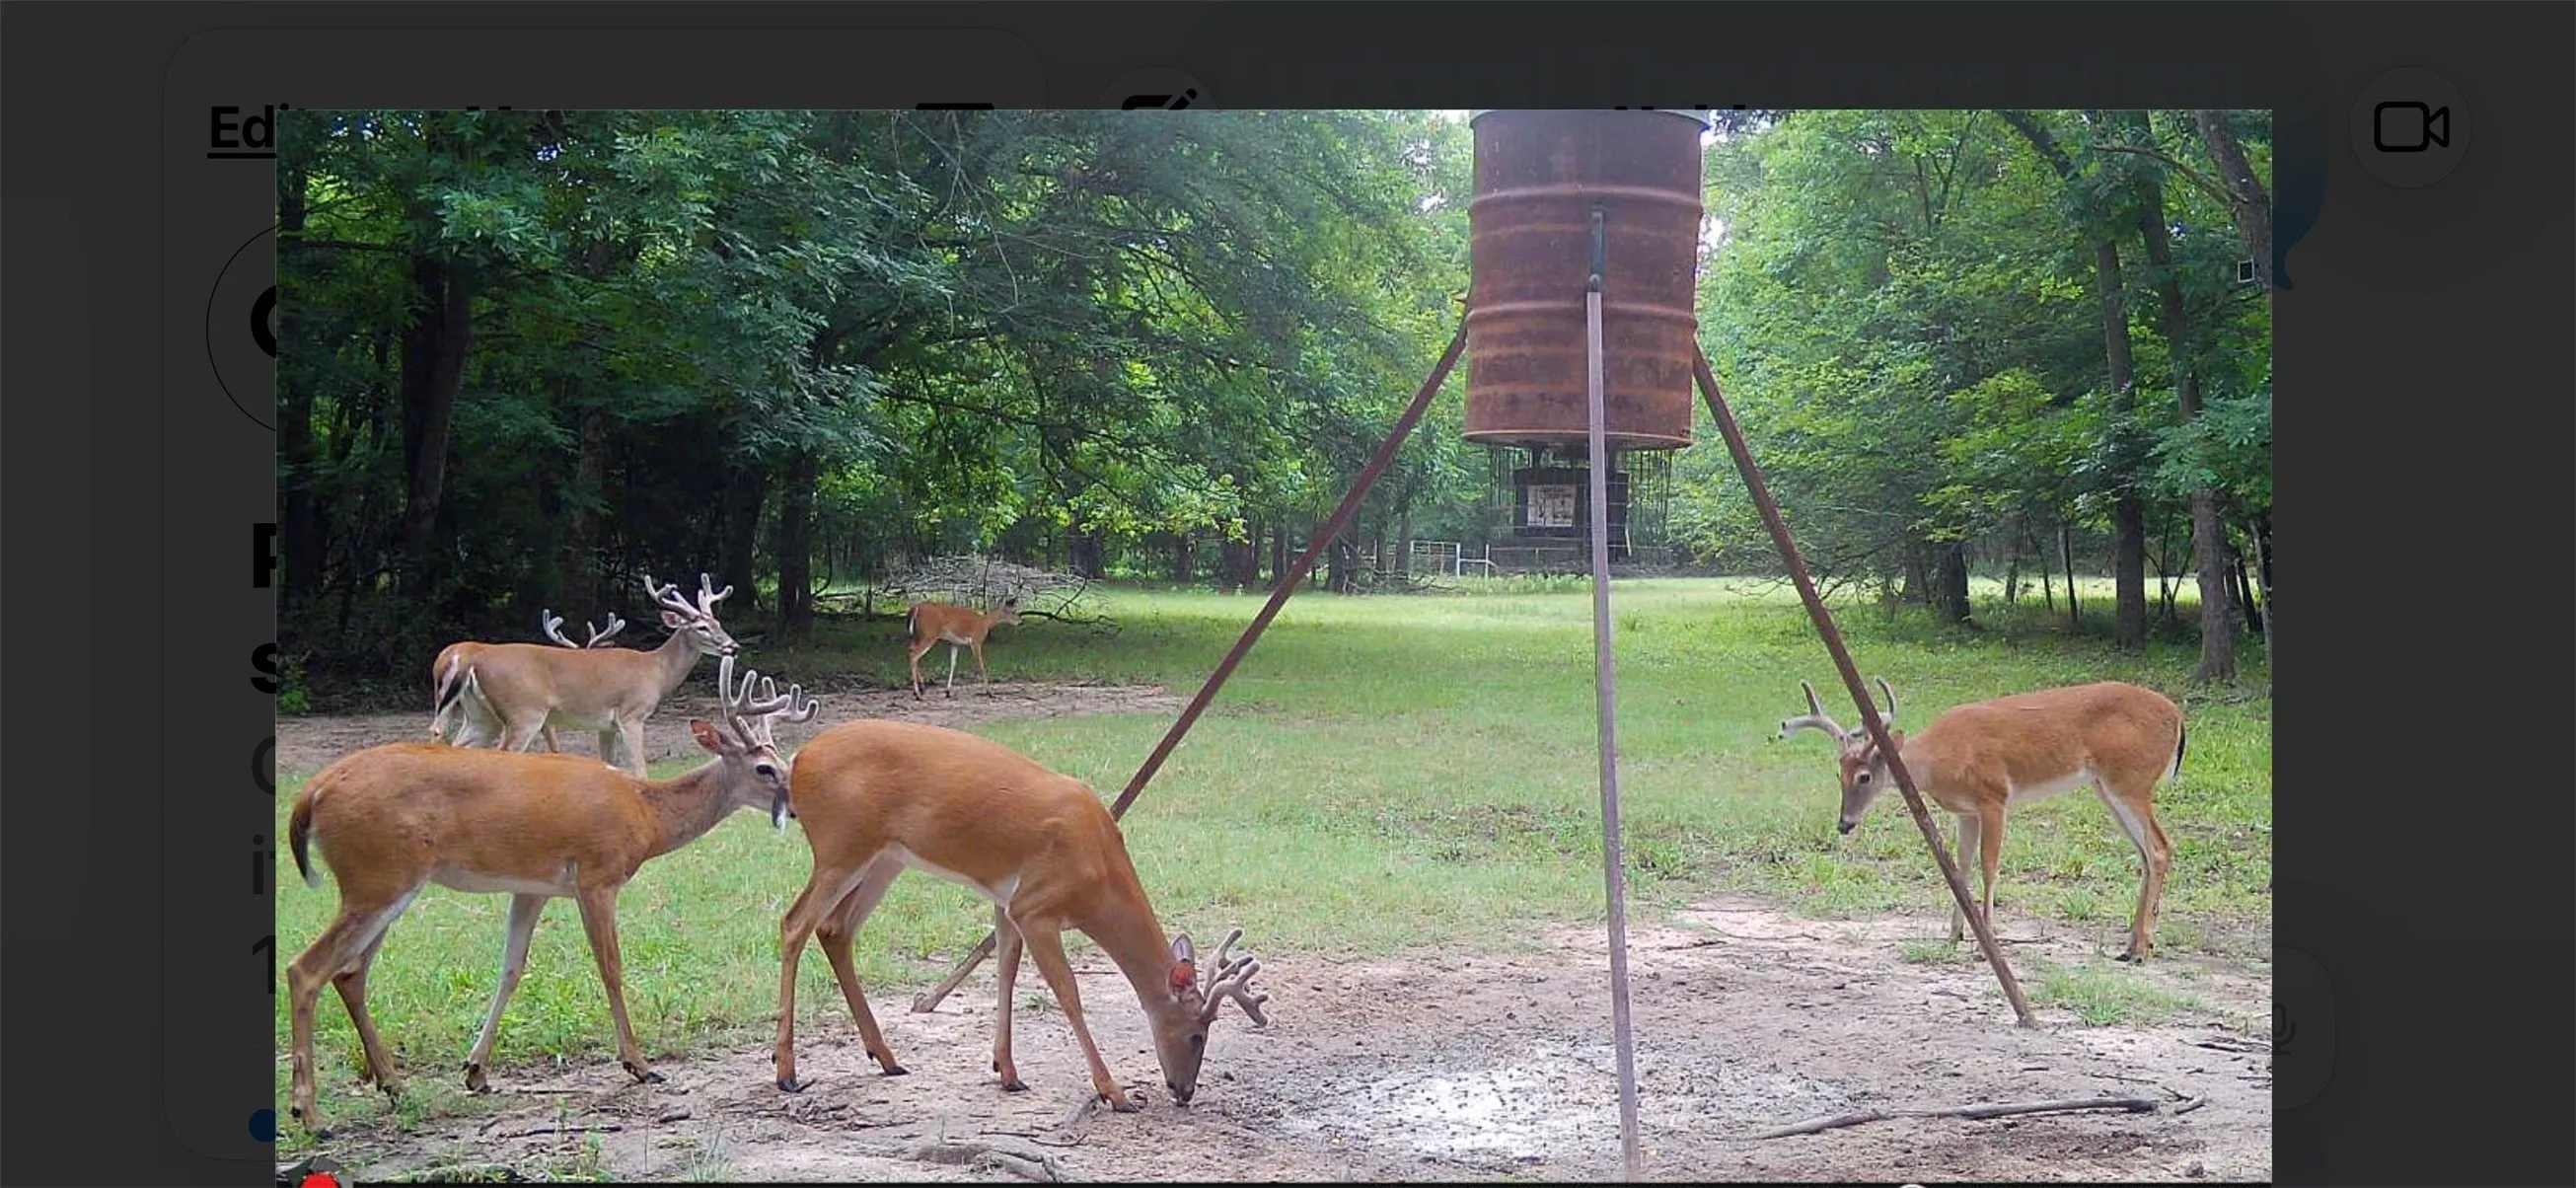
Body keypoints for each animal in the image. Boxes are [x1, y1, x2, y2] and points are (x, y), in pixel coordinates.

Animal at [285, 655, 817, 1137]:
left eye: (785, 761)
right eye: (765, 768)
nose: (796, 808)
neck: (647, 816)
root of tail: (313, 791)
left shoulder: (532, 888)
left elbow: (511, 969)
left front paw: (476, 1071)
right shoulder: (597, 877)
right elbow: (611, 967)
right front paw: (639, 1064)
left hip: (388, 885)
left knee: (350, 973)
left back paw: (394, 1085)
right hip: (377, 877)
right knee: (306, 969)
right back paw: (310, 1114)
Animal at [769, 718, 1271, 1112]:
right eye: (1197, 1035)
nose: (1184, 1092)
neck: (1098, 872)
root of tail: (799, 760)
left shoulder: (1007, 902)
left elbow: (1005, 971)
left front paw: (1007, 1071)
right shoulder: (1036, 907)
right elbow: (1068, 992)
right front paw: (1114, 1092)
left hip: (884, 858)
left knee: (835, 929)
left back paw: (887, 1058)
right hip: (840, 846)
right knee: (795, 922)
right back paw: (786, 1071)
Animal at [1776, 677, 2186, 963]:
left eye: (1864, 776)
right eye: (1838, 774)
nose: (1844, 824)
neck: (1940, 760)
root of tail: (2179, 717)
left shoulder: (1994, 798)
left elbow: (1990, 867)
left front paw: (1985, 940)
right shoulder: (1966, 811)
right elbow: (1961, 868)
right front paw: (1953, 935)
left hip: (2130, 780)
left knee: (2160, 847)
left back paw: (2140, 950)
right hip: (2106, 786)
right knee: (2146, 854)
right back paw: (2132, 944)